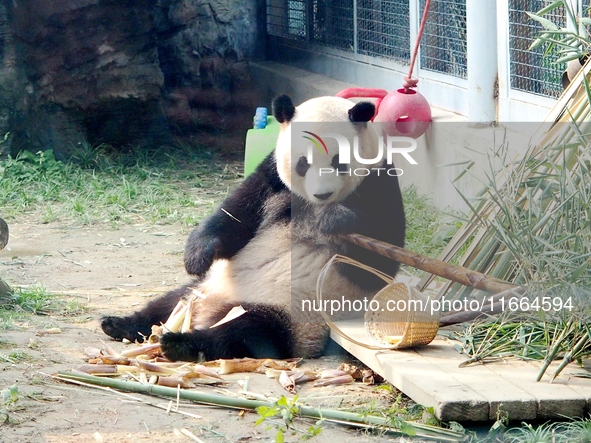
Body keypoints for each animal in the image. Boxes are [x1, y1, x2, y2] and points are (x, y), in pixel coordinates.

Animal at [103, 95, 408, 362]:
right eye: (303, 163)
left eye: (338, 161)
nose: (322, 194)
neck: (310, 204)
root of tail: (213, 309)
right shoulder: (272, 177)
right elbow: (235, 215)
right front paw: (197, 256)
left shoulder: (379, 181)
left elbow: (376, 260)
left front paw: (334, 219)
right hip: (205, 286)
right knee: (167, 302)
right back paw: (119, 323)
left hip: (293, 315)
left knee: (246, 333)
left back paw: (182, 343)